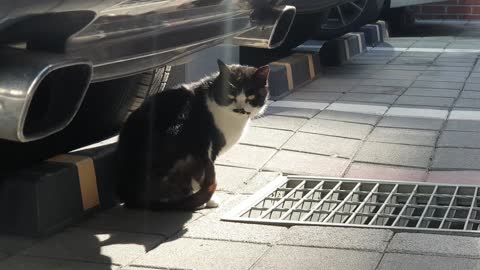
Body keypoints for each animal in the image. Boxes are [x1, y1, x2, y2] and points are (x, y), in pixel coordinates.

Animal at [114, 60, 268, 210]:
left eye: (251, 96)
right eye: (231, 94)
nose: (240, 109)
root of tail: (128, 195)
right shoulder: (208, 149)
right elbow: (203, 177)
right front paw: (210, 200)